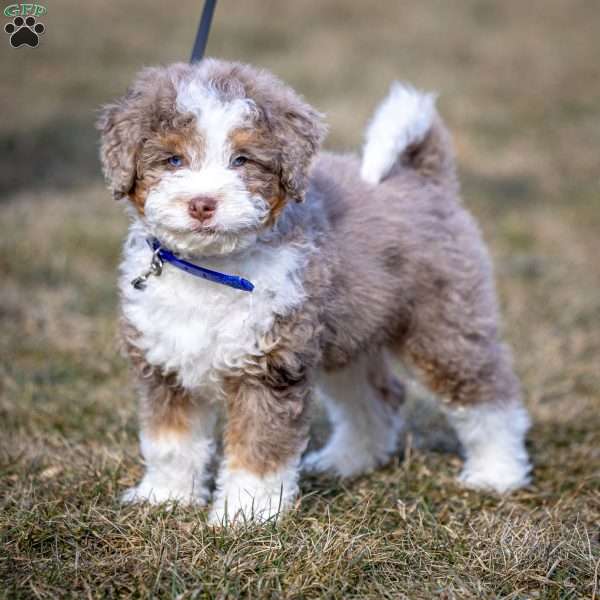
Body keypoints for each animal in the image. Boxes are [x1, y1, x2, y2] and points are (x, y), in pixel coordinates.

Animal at [98, 58, 536, 524]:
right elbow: (170, 441)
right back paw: (344, 462)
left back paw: (496, 473)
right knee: (377, 398)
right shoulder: (165, 365)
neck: (210, 269)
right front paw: (164, 497)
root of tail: (423, 178)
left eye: (242, 159)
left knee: (486, 396)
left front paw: (244, 516)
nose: (202, 204)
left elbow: (259, 449)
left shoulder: (270, 368)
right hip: (348, 333)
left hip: (444, 322)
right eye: (173, 158)